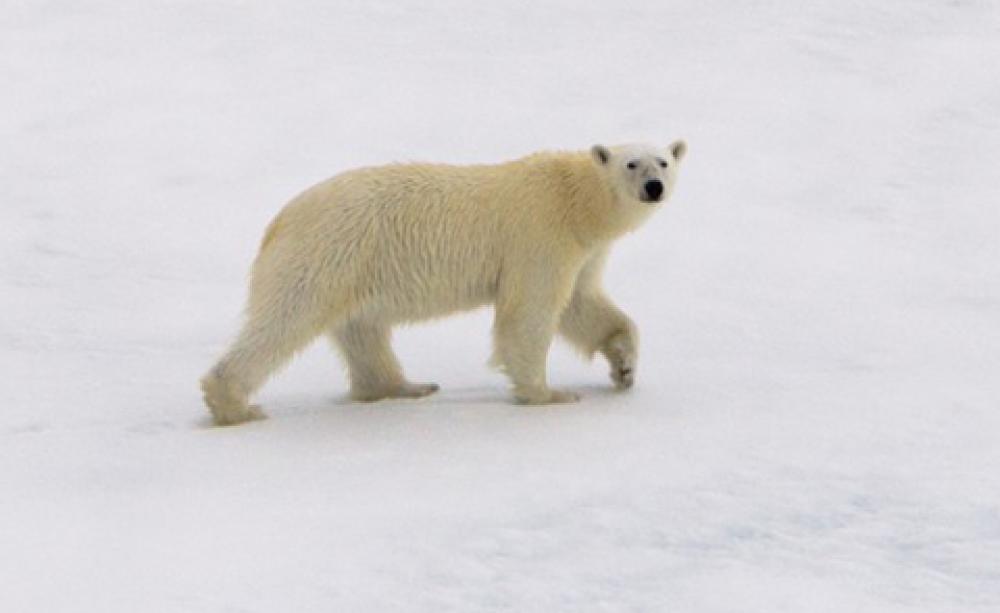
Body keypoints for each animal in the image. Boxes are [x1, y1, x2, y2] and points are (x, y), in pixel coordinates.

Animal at [201, 141, 687, 425]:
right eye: (631, 163)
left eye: (663, 160)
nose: (654, 186)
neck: (574, 199)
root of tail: (279, 220)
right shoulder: (539, 235)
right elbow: (529, 312)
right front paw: (550, 394)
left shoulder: (583, 250)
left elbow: (582, 305)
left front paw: (624, 367)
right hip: (327, 254)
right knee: (286, 319)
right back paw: (235, 404)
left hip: (353, 267)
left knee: (362, 329)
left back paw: (404, 386)